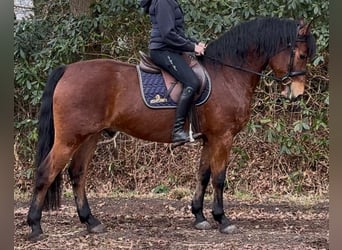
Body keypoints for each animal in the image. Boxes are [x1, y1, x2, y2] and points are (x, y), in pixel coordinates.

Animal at [26, 17, 316, 240]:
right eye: (302, 55)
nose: (297, 93)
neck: (227, 73)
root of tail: (68, 70)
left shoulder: (209, 139)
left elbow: (203, 175)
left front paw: (199, 216)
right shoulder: (223, 138)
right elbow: (219, 179)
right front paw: (222, 220)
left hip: (90, 136)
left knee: (77, 174)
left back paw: (90, 221)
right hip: (69, 139)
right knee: (45, 173)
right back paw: (35, 226)